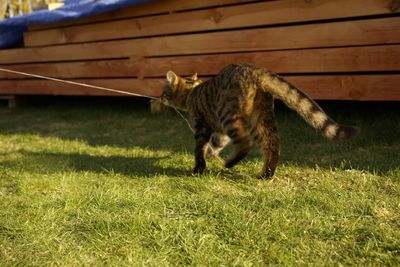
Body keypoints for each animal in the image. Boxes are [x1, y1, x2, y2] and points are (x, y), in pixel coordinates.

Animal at [159, 63, 360, 179]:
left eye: (164, 91)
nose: (159, 98)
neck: (191, 91)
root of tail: (254, 70)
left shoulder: (202, 127)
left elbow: (199, 149)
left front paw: (199, 167)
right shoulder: (219, 133)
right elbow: (216, 143)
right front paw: (210, 154)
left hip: (229, 115)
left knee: (245, 142)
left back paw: (230, 163)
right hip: (261, 118)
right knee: (272, 144)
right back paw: (267, 174)